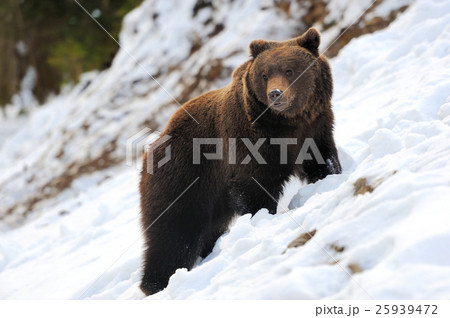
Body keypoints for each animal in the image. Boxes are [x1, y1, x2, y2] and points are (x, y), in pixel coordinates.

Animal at [139, 28, 340, 296]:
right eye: (265, 75)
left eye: (289, 70)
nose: (275, 94)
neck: (288, 123)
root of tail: (149, 150)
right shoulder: (248, 140)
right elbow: (253, 186)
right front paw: (262, 218)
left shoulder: (316, 127)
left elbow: (322, 159)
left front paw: (330, 176)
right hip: (182, 181)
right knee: (172, 236)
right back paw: (156, 283)